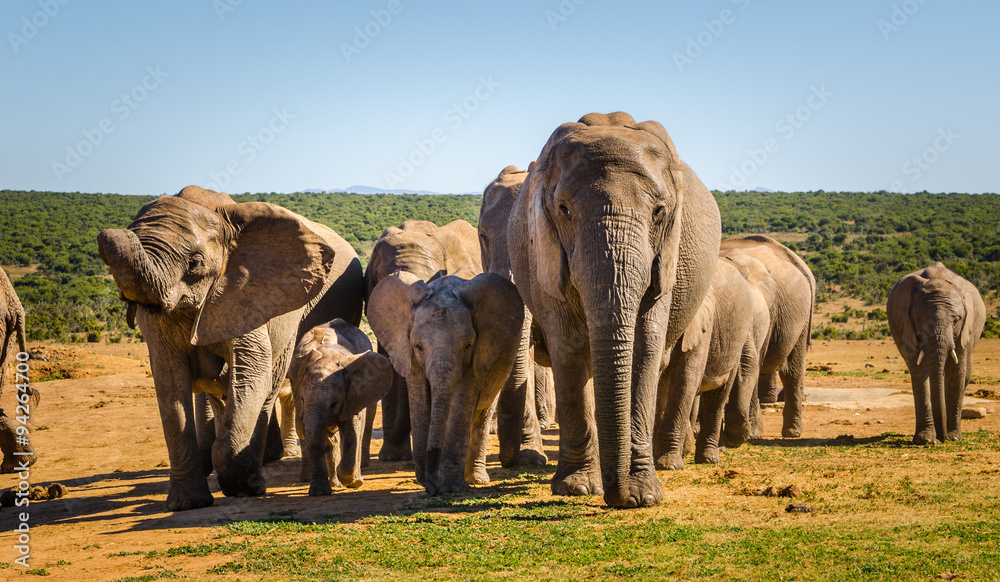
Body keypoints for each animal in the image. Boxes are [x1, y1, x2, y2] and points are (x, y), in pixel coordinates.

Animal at [98, 185, 365, 510]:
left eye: (195, 263)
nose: (108, 232)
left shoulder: (251, 294)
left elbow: (251, 372)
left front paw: (243, 486)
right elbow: (170, 382)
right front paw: (188, 504)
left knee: (267, 386)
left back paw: (256, 474)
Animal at [288, 319, 393, 495]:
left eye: (334, 403)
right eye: (302, 399)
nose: (324, 446)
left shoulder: (353, 393)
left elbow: (352, 431)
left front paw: (354, 482)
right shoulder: (297, 388)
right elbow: (308, 431)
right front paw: (319, 492)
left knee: (365, 424)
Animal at [367, 272, 524, 494]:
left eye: (467, 345)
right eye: (418, 346)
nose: (432, 489)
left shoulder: (479, 351)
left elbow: (462, 400)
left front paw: (452, 487)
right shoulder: (407, 352)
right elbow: (420, 400)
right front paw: (427, 482)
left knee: (482, 412)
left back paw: (476, 479)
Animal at [508, 112, 722, 508]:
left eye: (659, 211)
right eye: (563, 210)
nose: (615, 497)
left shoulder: (665, 258)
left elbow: (645, 348)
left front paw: (642, 496)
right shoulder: (542, 252)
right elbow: (569, 347)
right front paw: (577, 488)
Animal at [887, 263, 987, 444]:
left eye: (956, 320)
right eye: (918, 320)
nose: (942, 438)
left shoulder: (965, 330)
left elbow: (956, 370)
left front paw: (954, 437)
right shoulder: (906, 326)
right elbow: (919, 371)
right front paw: (926, 440)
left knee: (965, 374)